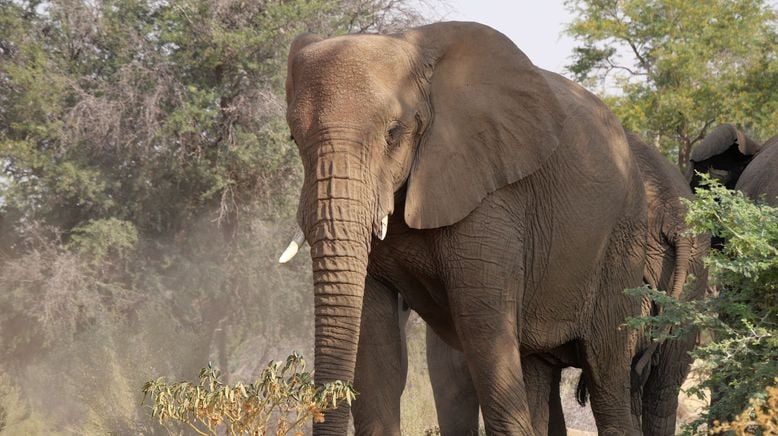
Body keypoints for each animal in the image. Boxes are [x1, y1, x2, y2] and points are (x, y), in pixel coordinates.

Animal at [282, 21, 644, 436]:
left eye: (393, 133)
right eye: (293, 137)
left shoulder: (492, 192)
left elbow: (483, 328)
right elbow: (374, 337)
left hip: (622, 240)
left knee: (606, 375)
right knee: (535, 367)